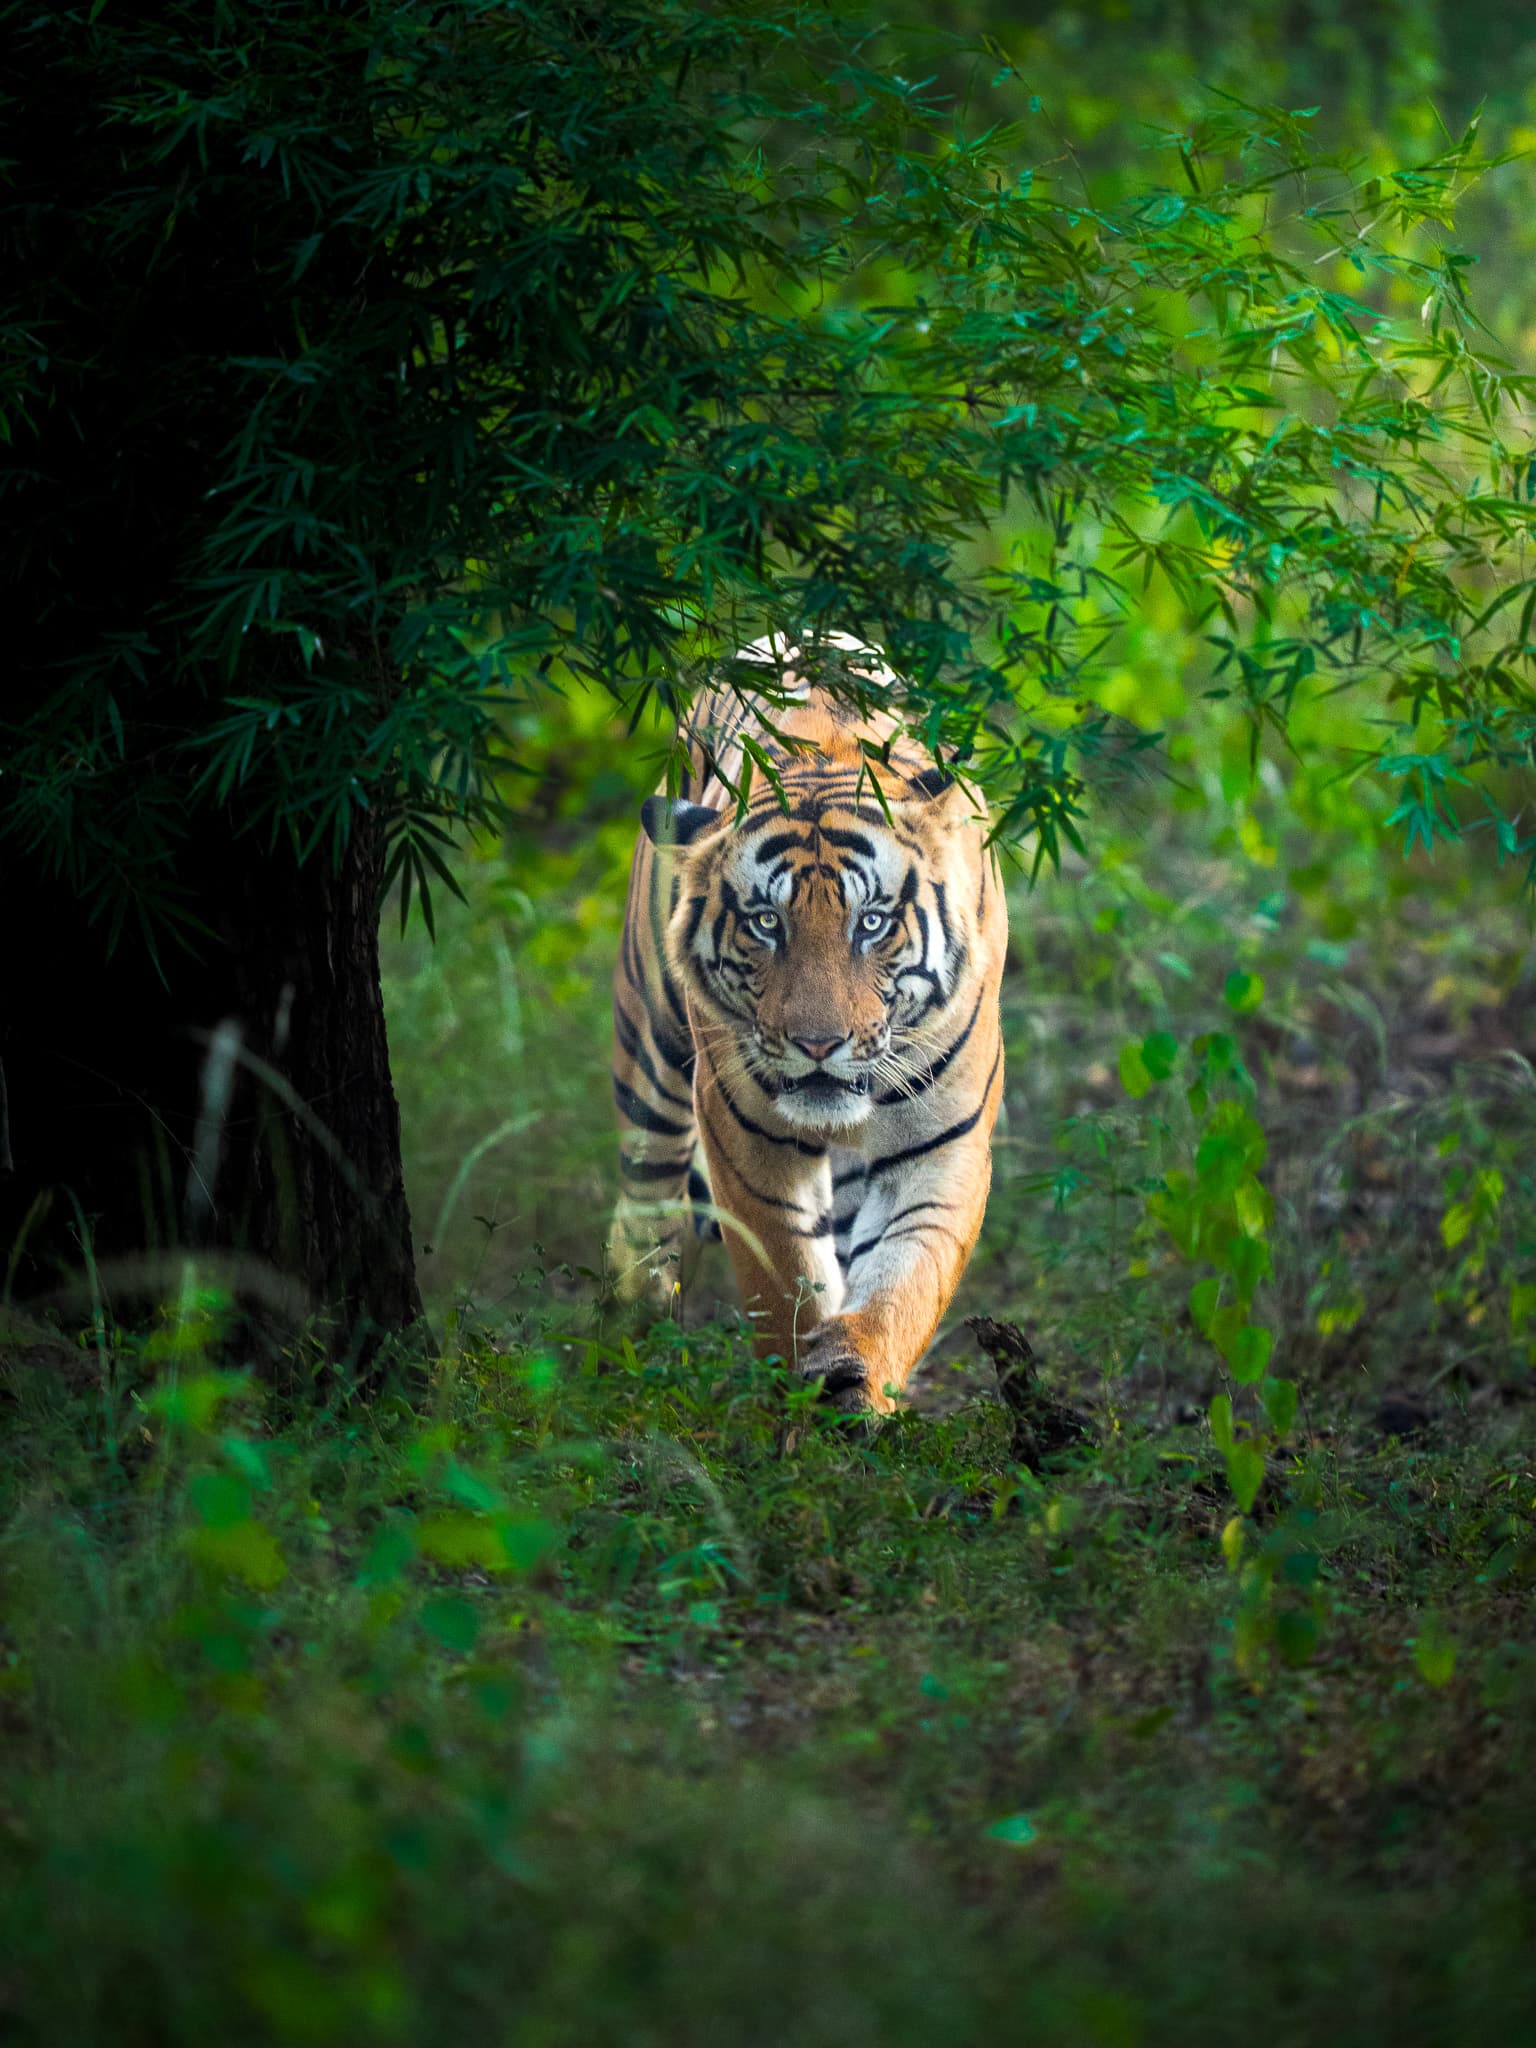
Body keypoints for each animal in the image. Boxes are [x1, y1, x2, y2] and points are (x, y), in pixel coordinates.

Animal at [608, 634, 1007, 1415]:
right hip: (652, 1048)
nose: (818, 1045)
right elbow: (785, 1275)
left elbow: (904, 1280)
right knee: (645, 1193)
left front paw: (856, 1376)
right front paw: (792, 1394)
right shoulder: (745, 1137)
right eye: (767, 923)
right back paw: (631, 1335)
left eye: (871, 923)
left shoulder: (943, 1144)